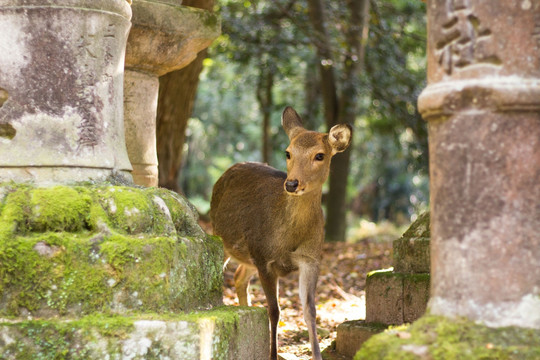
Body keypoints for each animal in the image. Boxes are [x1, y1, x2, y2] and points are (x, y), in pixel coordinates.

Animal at [209, 107, 352, 360]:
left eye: (320, 155)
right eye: (288, 152)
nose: (292, 184)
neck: (287, 240)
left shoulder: (311, 260)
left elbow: (310, 311)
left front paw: (317, 355)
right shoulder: (264, 259)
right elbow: (274, 311)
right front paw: (272, 354)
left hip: (249, 255)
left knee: (239, 276)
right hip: (223, 238)